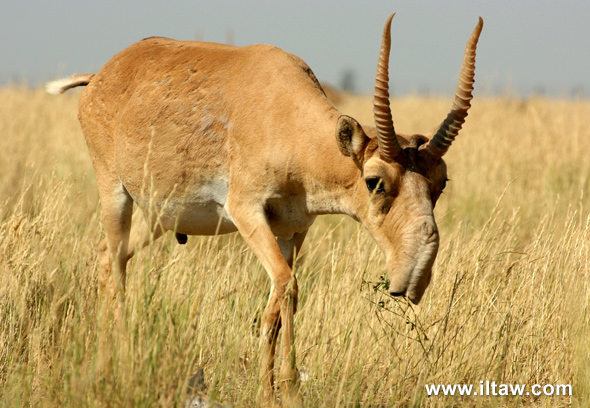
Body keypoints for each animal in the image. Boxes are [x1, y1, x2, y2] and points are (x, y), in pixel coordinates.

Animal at [48, 14, 486, 406]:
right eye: (374, 180)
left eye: (440, 182)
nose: (414, 277)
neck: (287, 120)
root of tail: (100, 76)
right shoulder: (247, 212)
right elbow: (284, 287)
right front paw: (268, 393)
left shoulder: (293, 231)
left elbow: (287, 296)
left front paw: (288, 391)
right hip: (114, 193)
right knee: (113, 263)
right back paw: (114, 364)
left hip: (156, 216)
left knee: (110, 255)